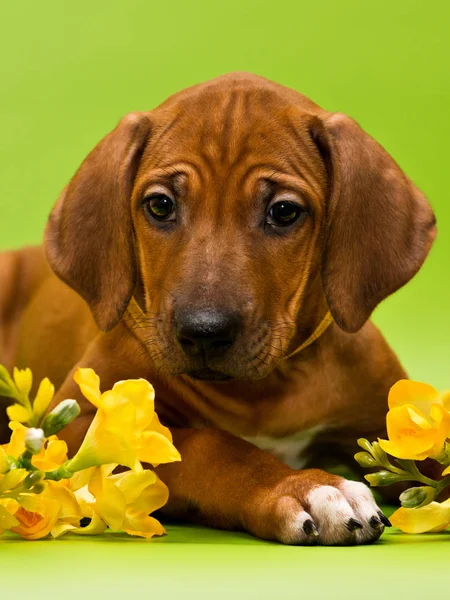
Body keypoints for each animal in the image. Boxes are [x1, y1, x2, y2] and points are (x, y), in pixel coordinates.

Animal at [0, 74, 436, 544]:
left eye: (284, 211)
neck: (268, 388)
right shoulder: (81, 428)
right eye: (160, 205)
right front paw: (303, 486)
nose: (203, 333)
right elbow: (211, 446)